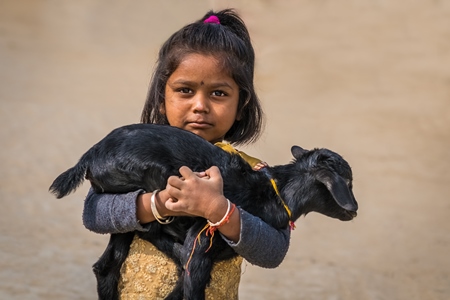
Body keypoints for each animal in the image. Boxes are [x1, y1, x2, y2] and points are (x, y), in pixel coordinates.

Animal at [50, 122, 358, 300]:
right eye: (348, 183)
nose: (354, 211)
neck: (273, 191)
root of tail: (91, 155)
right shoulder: (201, 243)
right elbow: (191, 284)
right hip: (150, 180)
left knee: (108, 265)